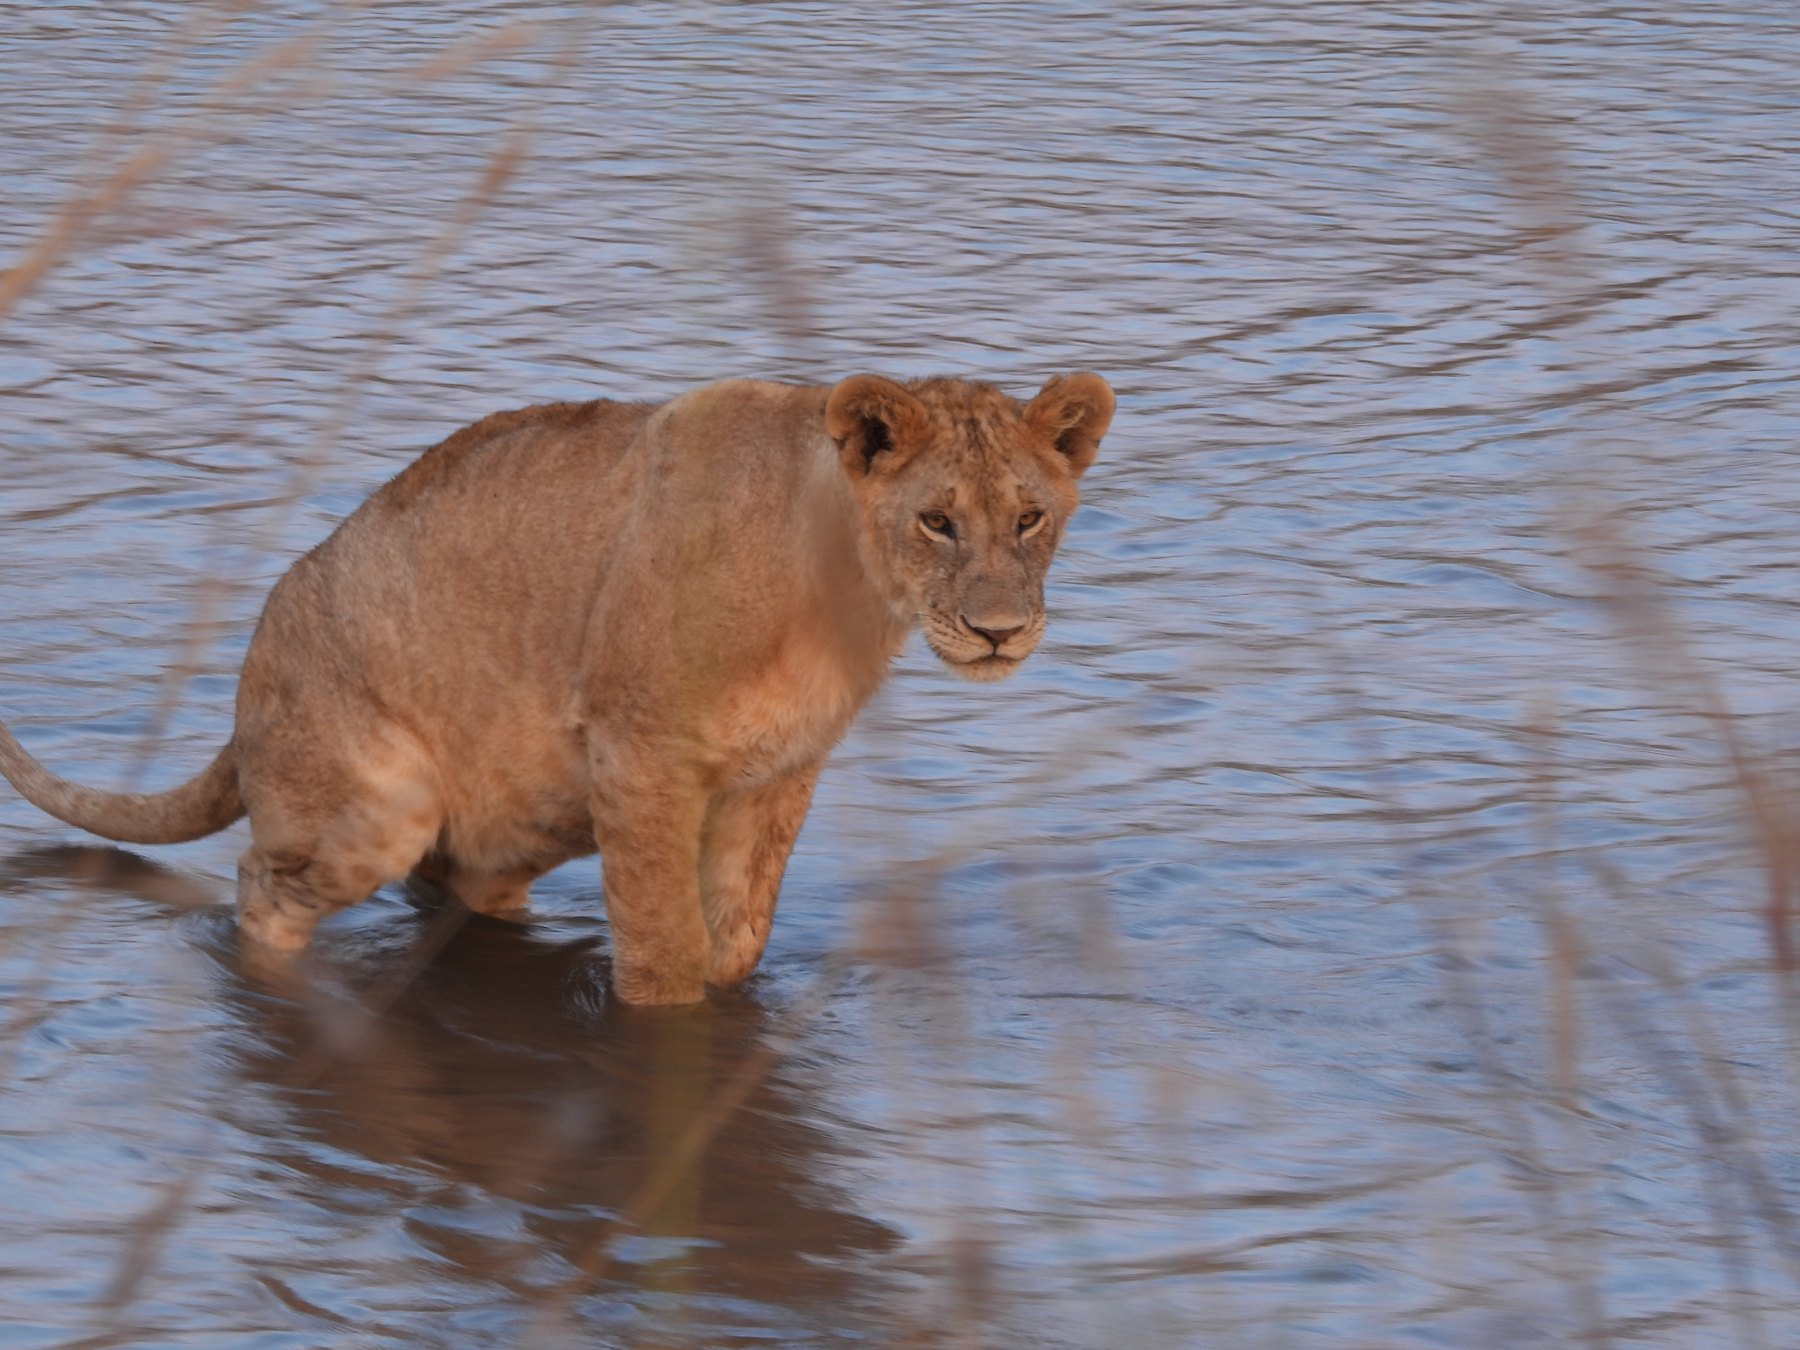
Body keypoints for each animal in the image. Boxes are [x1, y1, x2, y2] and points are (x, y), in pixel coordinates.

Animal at [0, 372, 1113, 1003]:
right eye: (936, 521)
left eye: (1028, 518)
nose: (999, 631)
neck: (838, 589)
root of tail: (241, 699)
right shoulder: (641, 754)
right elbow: (663, 953)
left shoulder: (776, 775)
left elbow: (737, 939)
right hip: (380, 801)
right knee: (260, 889)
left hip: (516, 818)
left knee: (452, 888)